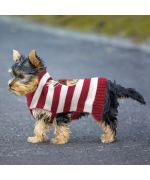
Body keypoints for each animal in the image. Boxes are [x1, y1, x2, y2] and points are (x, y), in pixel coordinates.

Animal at [7, 49, 146, 145]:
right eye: (12, 75)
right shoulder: (45, 113)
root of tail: (111, 85)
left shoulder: (60, 111)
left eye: (21, 76)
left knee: (110, 123)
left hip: (102, 108)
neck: (43, 87)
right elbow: (39, 126)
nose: (9, 85)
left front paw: (59, 140)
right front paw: (36, 138)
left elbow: (61, 128)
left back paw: (109, 138)